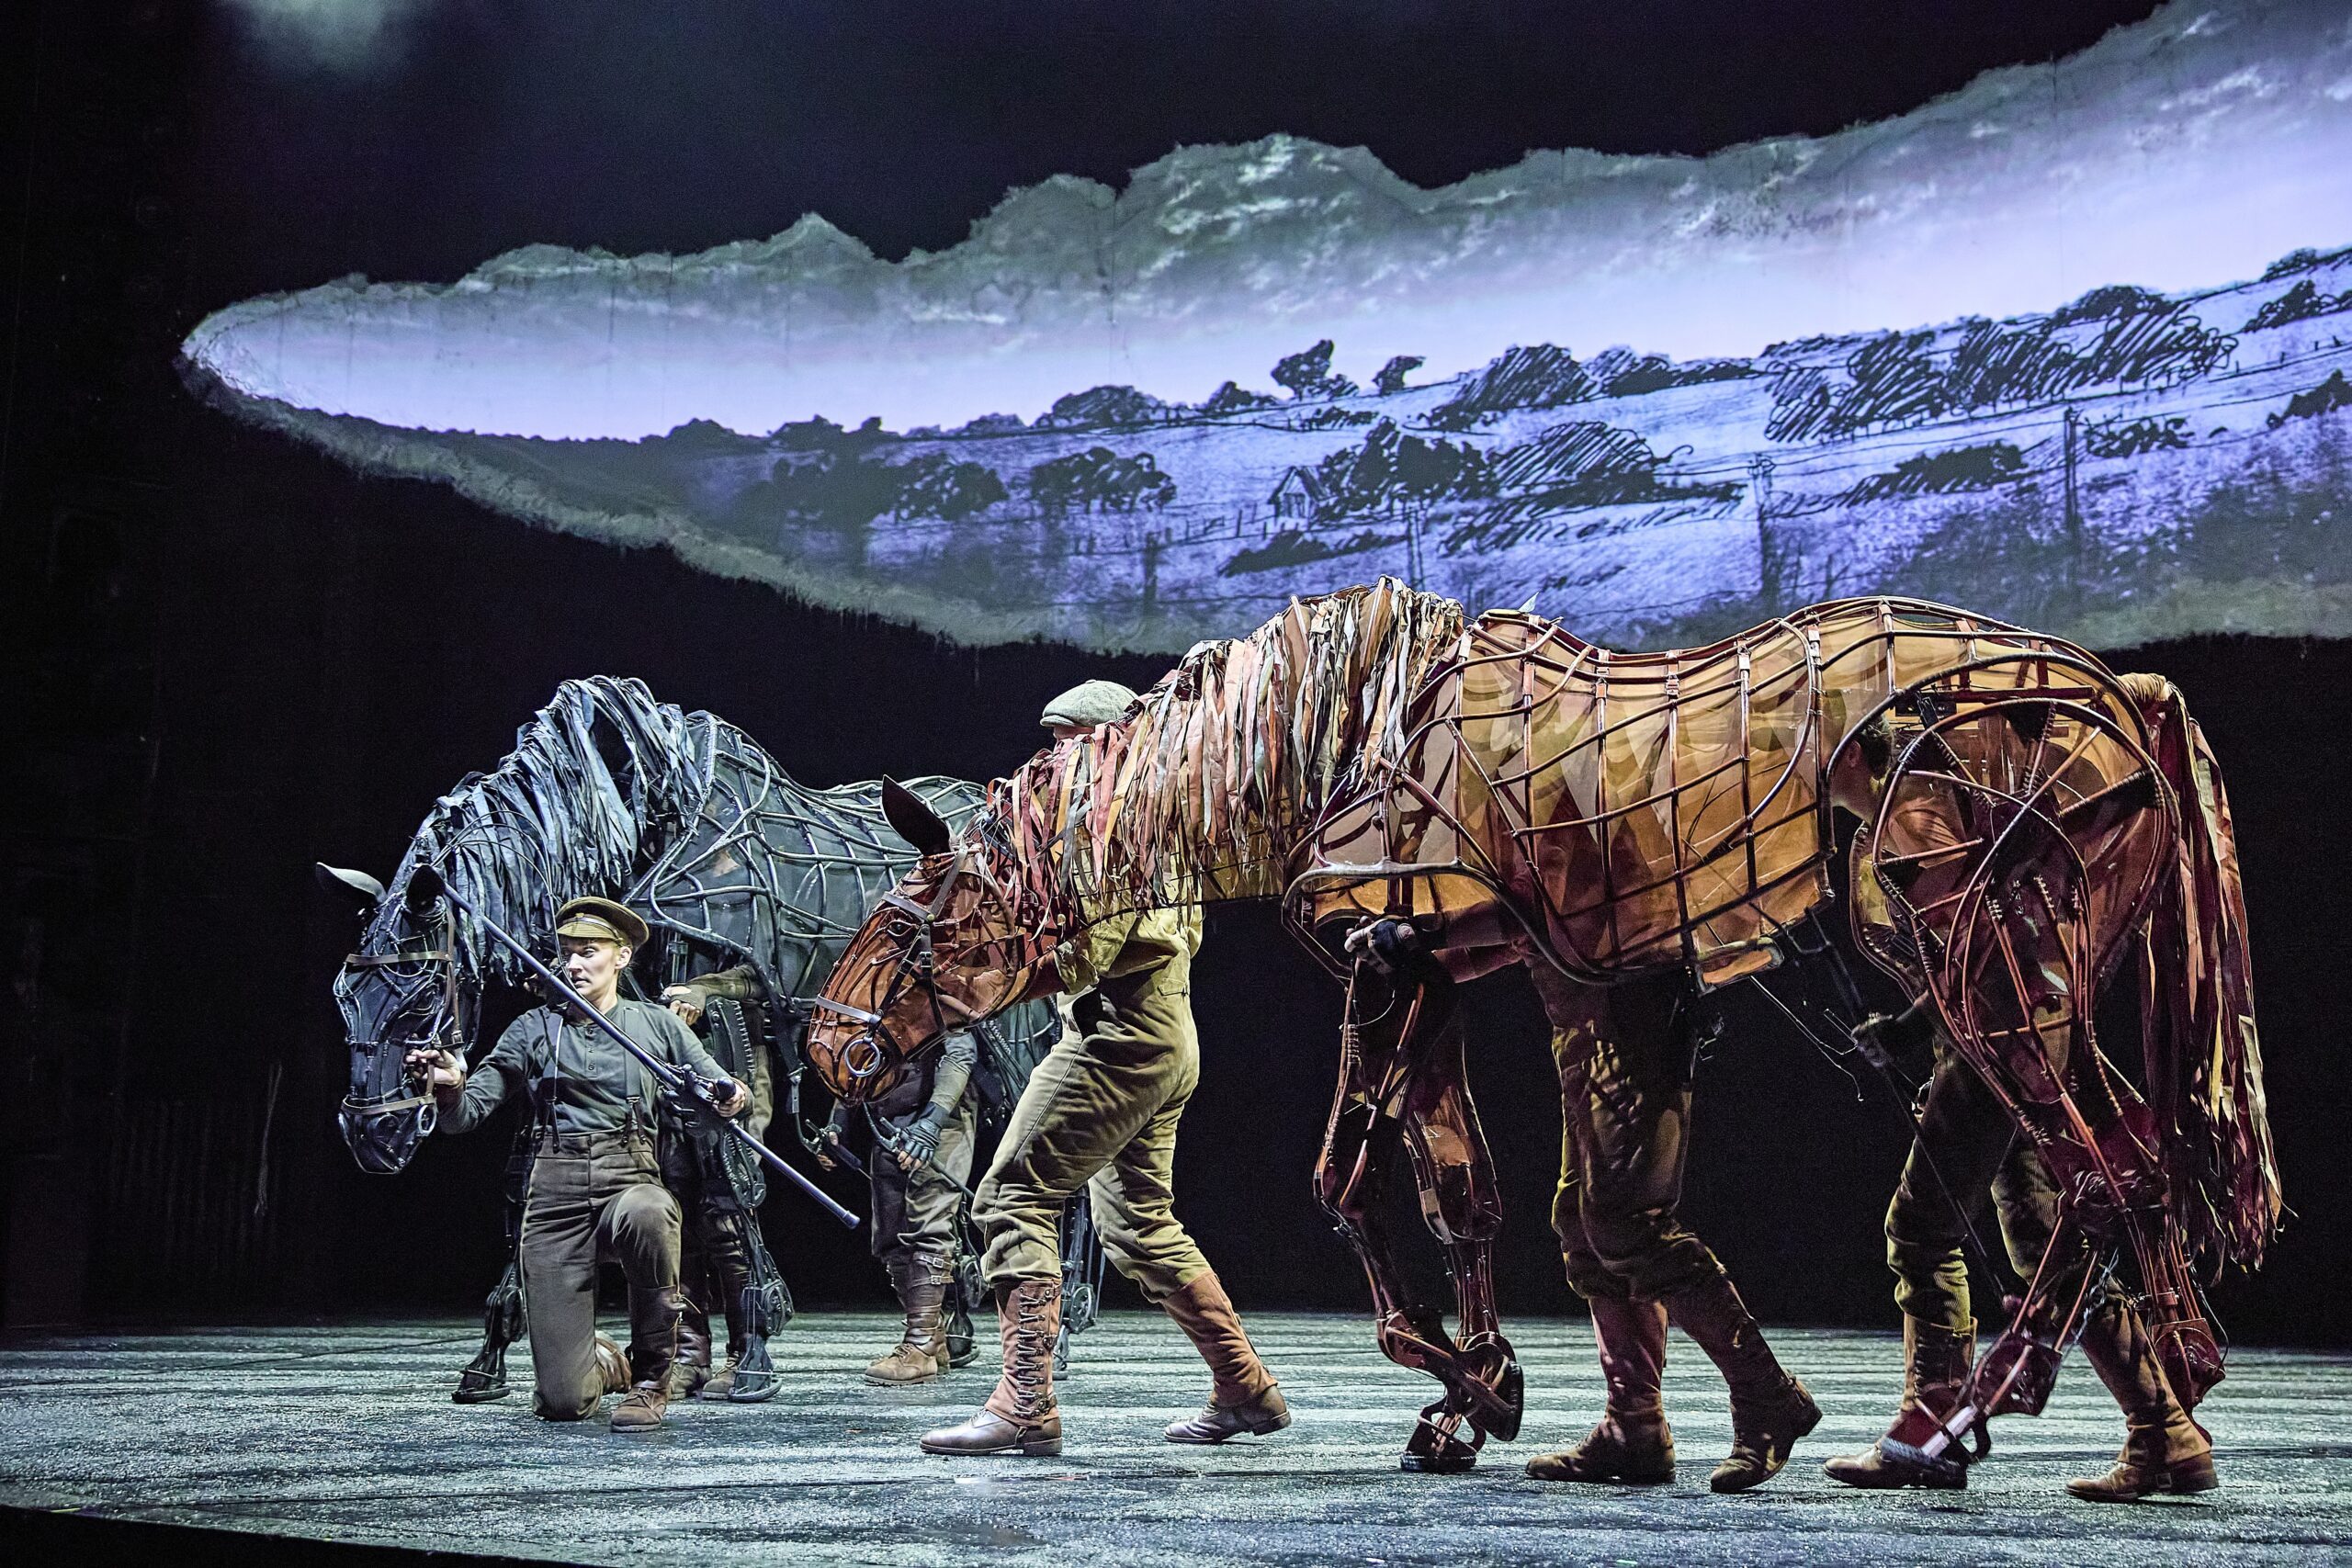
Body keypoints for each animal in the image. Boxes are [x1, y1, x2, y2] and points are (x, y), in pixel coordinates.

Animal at [319, 675, 1075, 1401]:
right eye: (342, 995)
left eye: (420, 996)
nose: (372, 1135)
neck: (647, 825)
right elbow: (562, 1173)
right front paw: (494, 1354)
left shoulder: (720, 1030)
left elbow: (725, 1182)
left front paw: (756, 1345)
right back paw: (950, 1331)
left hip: (1019, 1041)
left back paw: (1054, 1332)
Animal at [804, 579, 2279, 1472]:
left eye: (913, 917)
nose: (831, 1049)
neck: (1345, 729)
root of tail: (2120, 694)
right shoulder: (1450, 968)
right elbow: (1464, 1191)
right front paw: (1476, 1389)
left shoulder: (1390, 958)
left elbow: (1350, 1180)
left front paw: (1463, 1383)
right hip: (2034, 991)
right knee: (2121, 1173)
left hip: (1989, 970)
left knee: (2109, 1172)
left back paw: (1970, 1416)